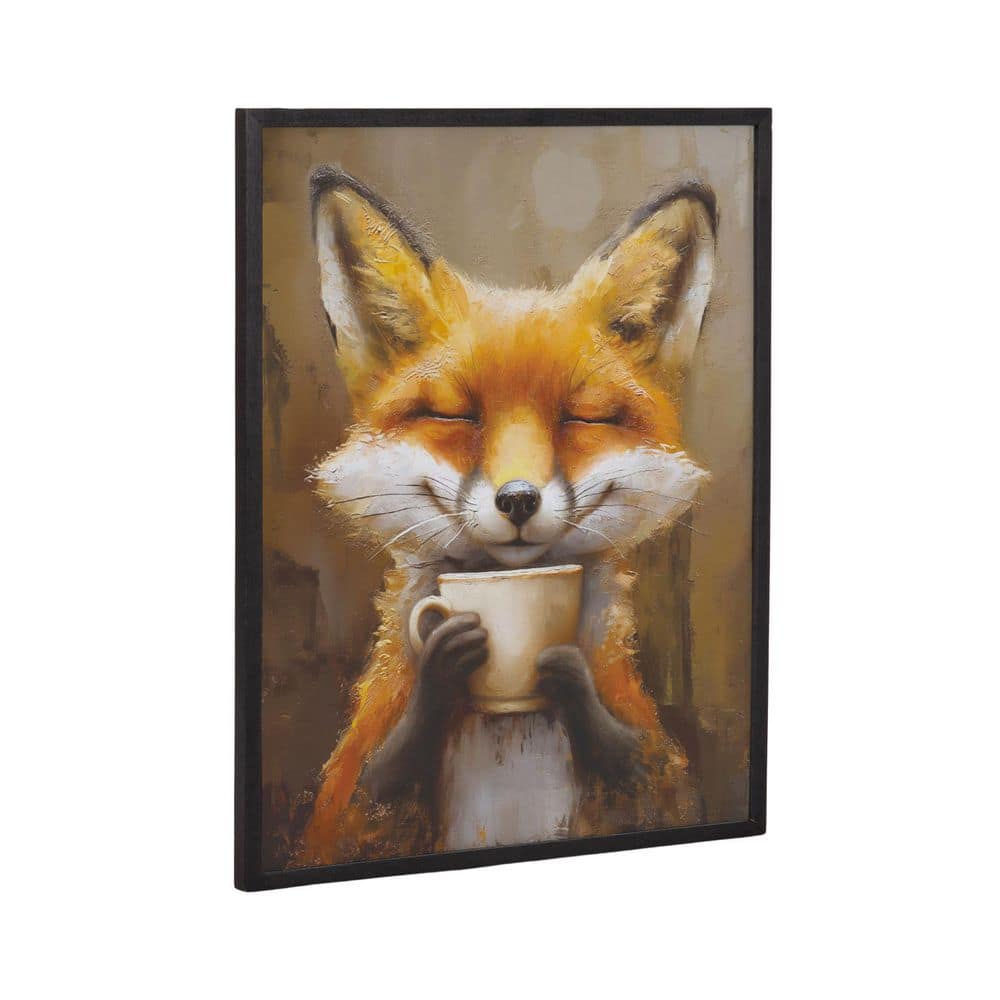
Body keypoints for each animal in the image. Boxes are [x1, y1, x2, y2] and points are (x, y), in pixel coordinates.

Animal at [297, 165, 716, 866]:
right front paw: (441, 671)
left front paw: (570, 678)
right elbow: (370, 796)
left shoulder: (659, 785)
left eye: (582, 417)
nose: (518, 499)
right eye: (455, 414)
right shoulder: (346, 813)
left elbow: (640, 772)